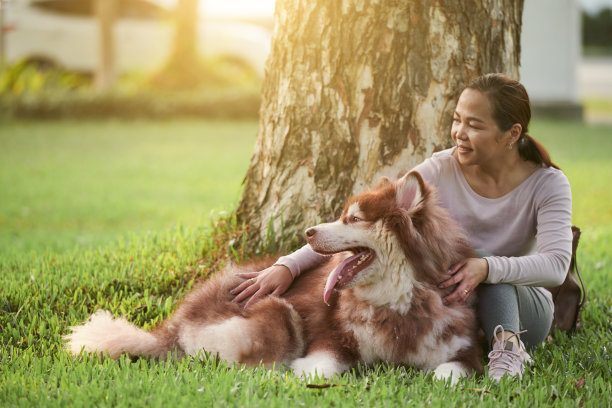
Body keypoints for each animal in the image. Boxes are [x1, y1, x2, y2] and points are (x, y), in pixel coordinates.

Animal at [63, 171, 482, 382]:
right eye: (343, 214)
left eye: (353, 218)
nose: (308, 233)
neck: (396, 304)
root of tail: (178, 318)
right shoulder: (330, 339)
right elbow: (321, 369)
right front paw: (299, 373)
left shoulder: (464, 348)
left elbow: (449, 374)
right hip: (280, 313)